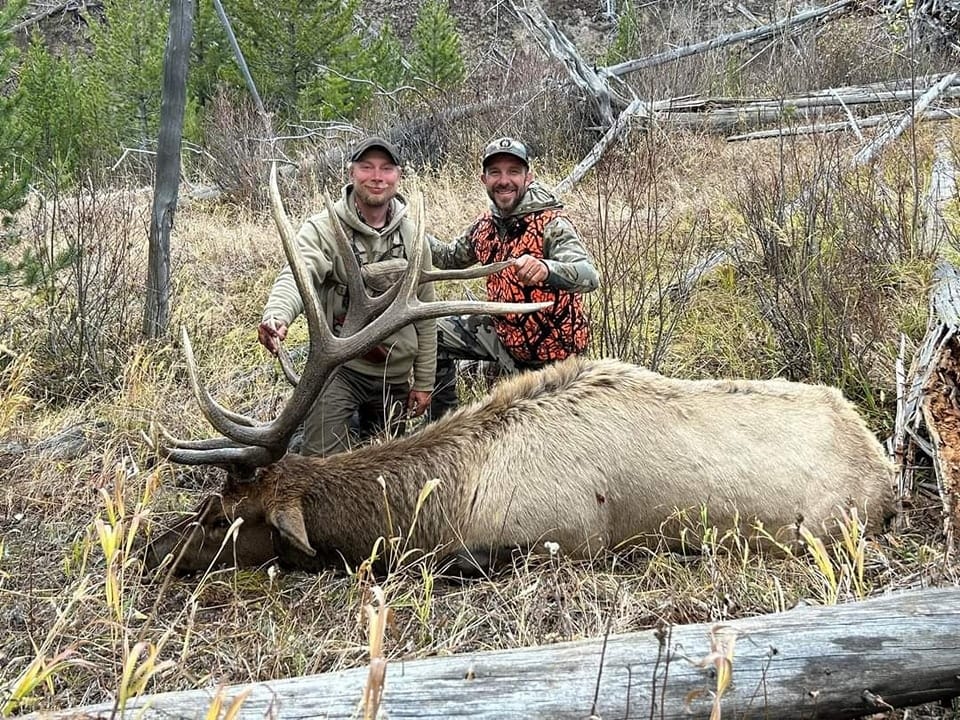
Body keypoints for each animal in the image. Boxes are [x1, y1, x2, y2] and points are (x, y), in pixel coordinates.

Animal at [143, 163, 896, 576]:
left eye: (221, 517)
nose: (153, 552)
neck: (456, 495)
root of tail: (882, 462)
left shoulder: (570, 537)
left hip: (825, 527)